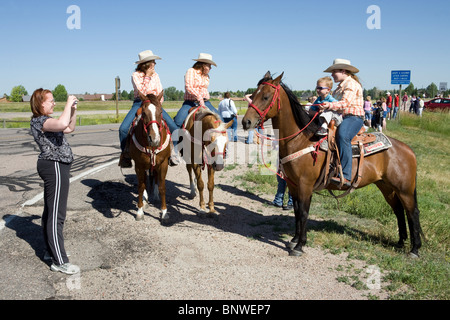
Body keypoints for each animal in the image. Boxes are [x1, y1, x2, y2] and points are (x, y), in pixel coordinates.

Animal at [130, 92, 172, 222]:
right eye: (144, 113)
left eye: (161, 112)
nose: (154, 139)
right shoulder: (139, 165)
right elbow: (141, 186)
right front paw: (139, 211)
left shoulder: (163, 164)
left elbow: (162, 187)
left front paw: (164, 212)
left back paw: (155, 195)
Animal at [243, 72, 422, 258]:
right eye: (252, 95)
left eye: (265, 96)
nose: (246, 122)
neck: (300, 139)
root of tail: (408, 150)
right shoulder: (293, 184)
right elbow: (297, 211)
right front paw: (294, 240)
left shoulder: (305, 184)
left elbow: (304, 212)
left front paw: (300, 245)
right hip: (386, 186)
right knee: (399, 210)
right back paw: (400, 242)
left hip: (404, 189)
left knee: (412, 212)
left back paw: (415, 249)